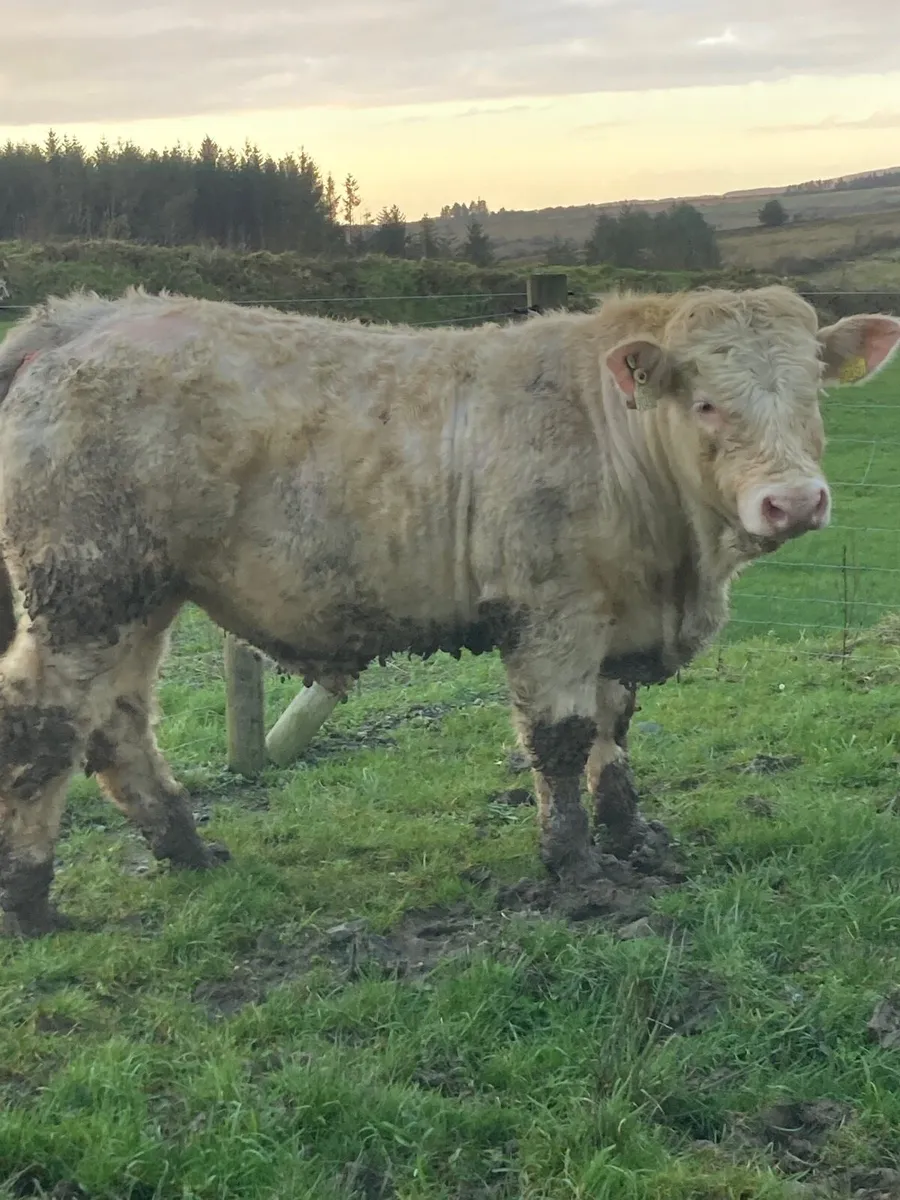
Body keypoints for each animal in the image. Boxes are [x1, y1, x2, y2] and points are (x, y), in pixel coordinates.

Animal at [0, 284, 898, 938]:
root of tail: (84, 316)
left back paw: (188, 849)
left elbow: (613, 730)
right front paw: (576, 867)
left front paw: (632, 835)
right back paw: (32, 901)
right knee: (45, 722)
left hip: (142, 598)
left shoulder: (616, 622)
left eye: (813, 393)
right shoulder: (551, 611)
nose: (794, 502)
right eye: (706, 401)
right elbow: (562, 741)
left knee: (117, 723)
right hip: (86, 588)